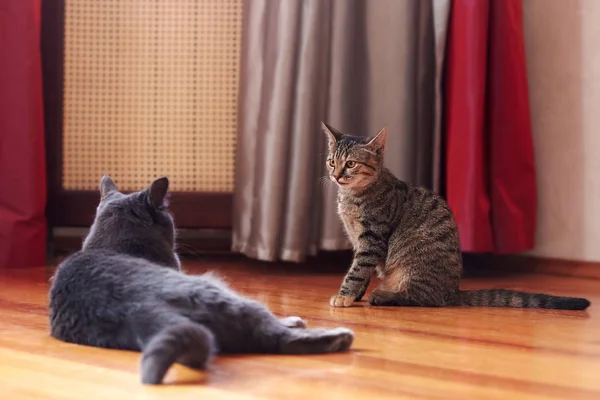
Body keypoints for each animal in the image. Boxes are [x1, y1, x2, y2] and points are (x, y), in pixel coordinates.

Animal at [324, 123, 592, 310]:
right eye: (331, 162)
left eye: (350, 164)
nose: (336, 176)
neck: (351, 197)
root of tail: (453, 291)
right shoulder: (358, 240)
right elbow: (361, 271)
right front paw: (354, 295)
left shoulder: (372, 238)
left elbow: (358, 270)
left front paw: (345, 295)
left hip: (411, 267)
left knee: (422, 298)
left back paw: (383, 296)